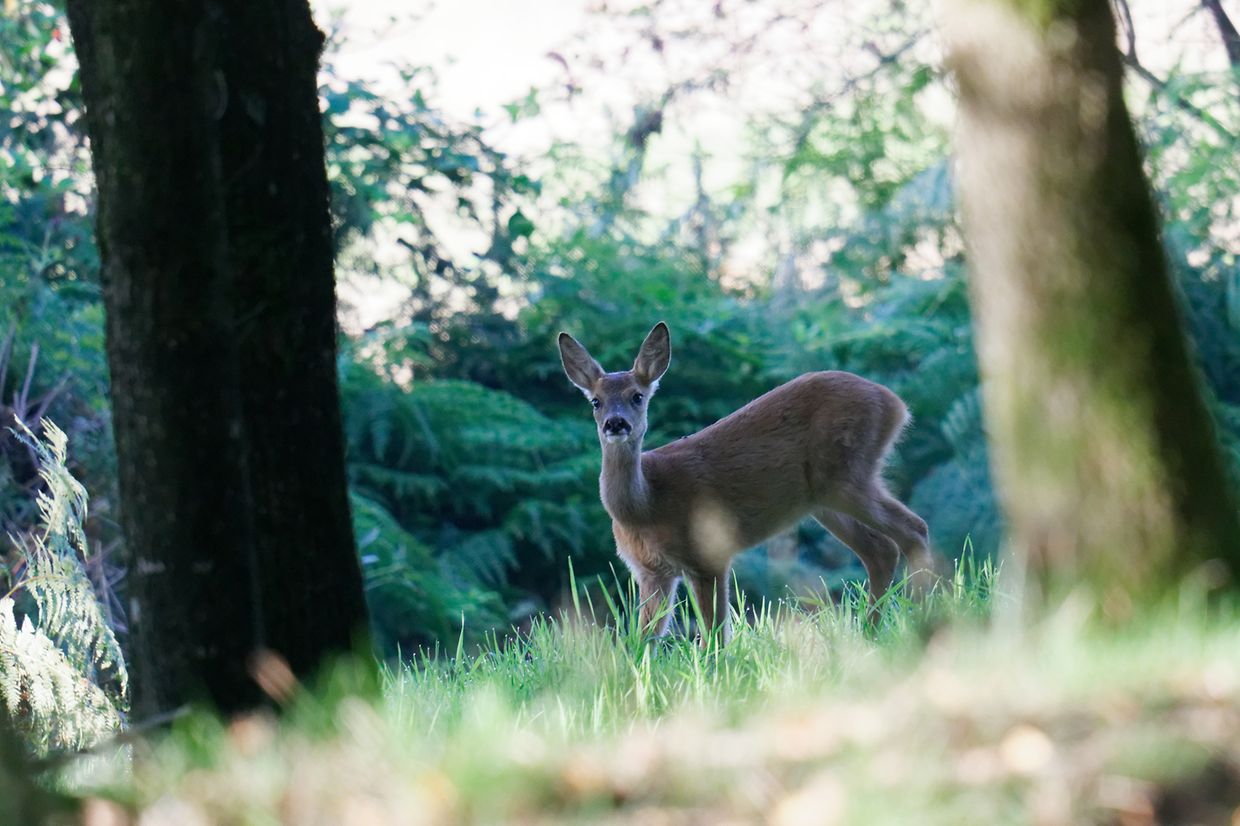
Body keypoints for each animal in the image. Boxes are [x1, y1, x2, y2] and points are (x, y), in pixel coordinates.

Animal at [558, 322, 937, 644]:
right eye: (596, 401)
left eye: (637, 396)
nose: (615, 423)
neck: (646, 504)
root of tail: (896, 405)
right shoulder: (652, 572)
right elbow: (642, 641)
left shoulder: (707, 553)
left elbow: (715, 637)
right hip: (824, 500)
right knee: (881, 549)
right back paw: (870, 633)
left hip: (846, 475)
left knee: (913, 528)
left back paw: (924, 620)